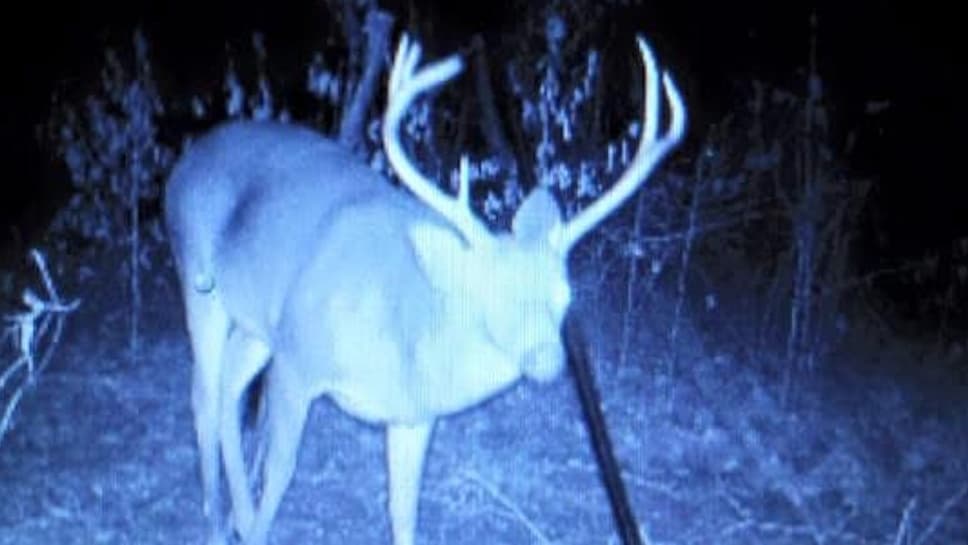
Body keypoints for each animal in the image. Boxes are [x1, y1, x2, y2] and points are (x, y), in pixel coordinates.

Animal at [164, 32, 685, 545]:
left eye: (565, 297)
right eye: (489, 291)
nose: (548, 359)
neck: (406, 331)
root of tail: (185, 159)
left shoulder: (413, 416)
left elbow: (403, 512)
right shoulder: (296, 359)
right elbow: (280, 474)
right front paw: (255, 525)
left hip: (256, 326)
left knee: (228, 387)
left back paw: (231, 514)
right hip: (198, 279)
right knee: (205, 393)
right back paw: (219, 520)